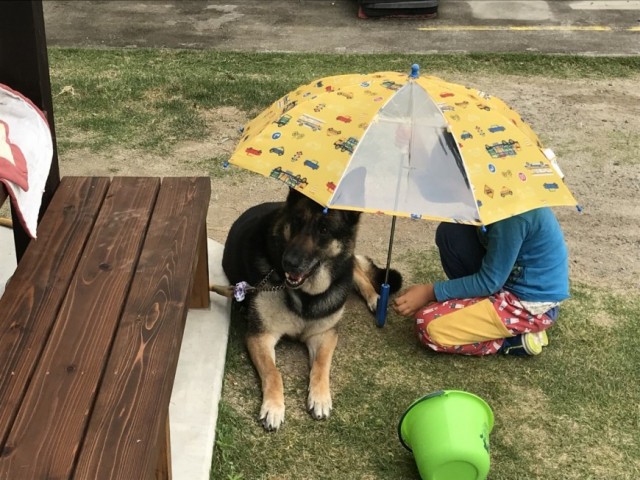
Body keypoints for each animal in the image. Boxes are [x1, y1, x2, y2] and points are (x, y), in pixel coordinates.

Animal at [221, 188, 400, 432]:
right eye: (297, 222)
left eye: (324, 229)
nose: (289, 263)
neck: (305, 295)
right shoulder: (261, 337)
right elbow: (274, 373)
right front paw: (274, 407)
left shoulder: (324, 334)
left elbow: (321, 365)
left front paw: (321, 397)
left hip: (346, 270)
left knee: (357, 272)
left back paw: (375, 298)